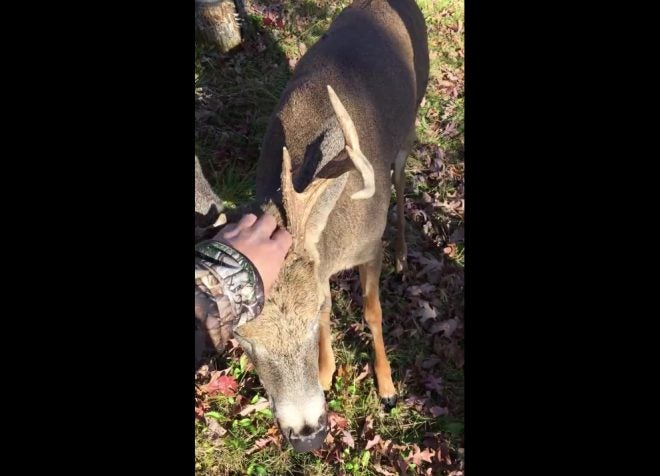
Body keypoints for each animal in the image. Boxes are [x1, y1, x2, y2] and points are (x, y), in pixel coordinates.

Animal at [196, 0, 430, 454]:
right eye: (244, 340)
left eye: (303, 328)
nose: (307, 434)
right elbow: (328, 306)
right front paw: (325, 372)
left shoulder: (368, 247)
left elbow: (372, 312)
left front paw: (388, 387)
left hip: (409, 129)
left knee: (401, 180)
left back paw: (403, 256)